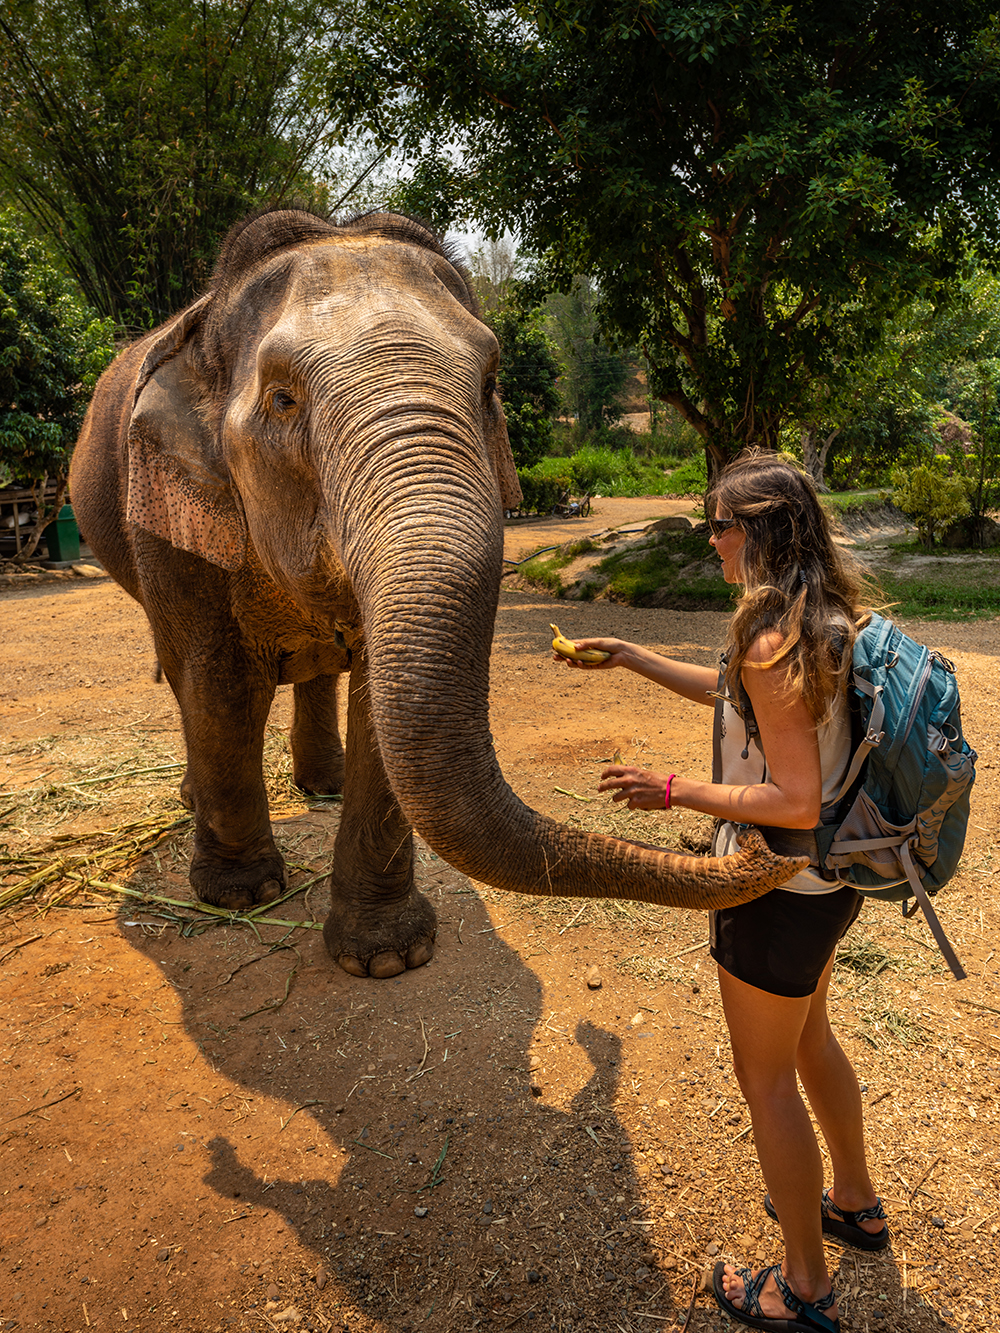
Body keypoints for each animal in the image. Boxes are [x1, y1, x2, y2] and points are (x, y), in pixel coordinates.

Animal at [69, 207, 805, 978]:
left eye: (489, 386)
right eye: (282, 400)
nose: (762, 843)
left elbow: (377, 700)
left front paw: (388, 957)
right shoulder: (170, 517)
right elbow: (220, 682)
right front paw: (242, 896)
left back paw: (323, 786)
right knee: (189, 675)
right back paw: (205, 809)